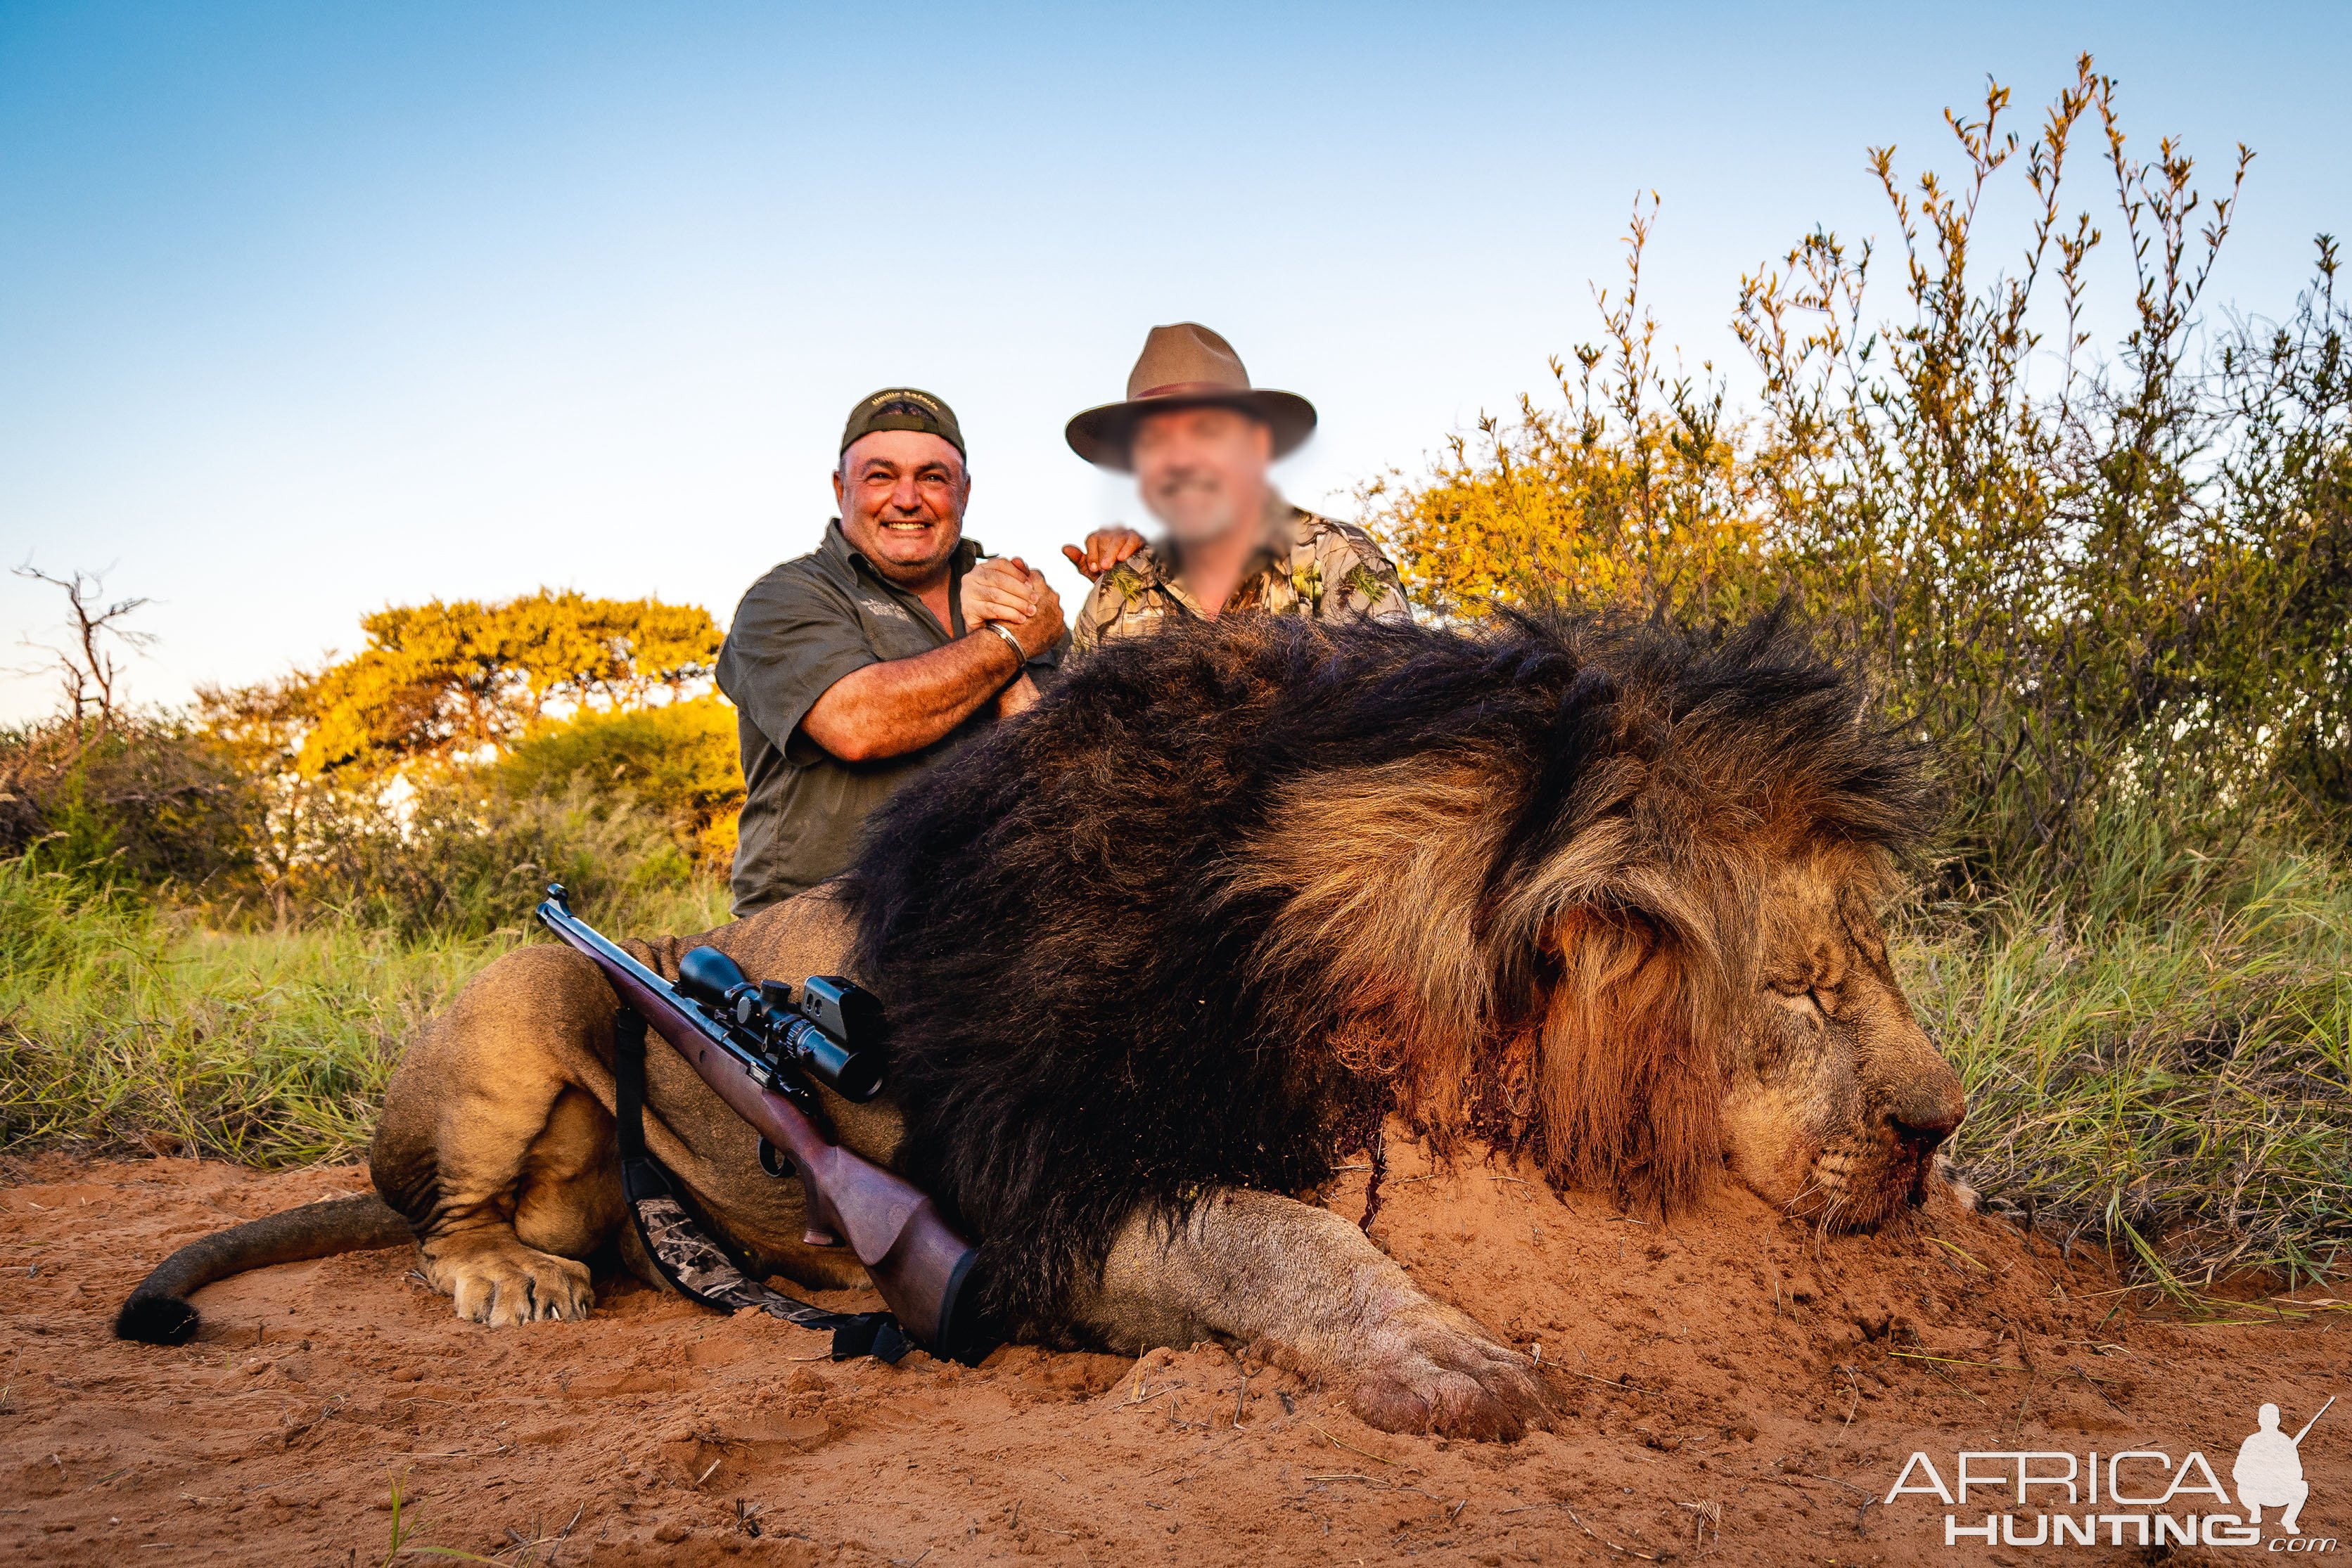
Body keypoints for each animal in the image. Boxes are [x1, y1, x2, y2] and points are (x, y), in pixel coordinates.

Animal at [124, 606, 1966, 1439]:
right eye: (1802, 987)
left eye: (1867, 967)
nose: (1934, 1125)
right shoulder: (1028, 1197)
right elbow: (1277, 1236)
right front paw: (1437, 1349)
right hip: (527, 985)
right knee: (442, 1216)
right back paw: (512, 1272)